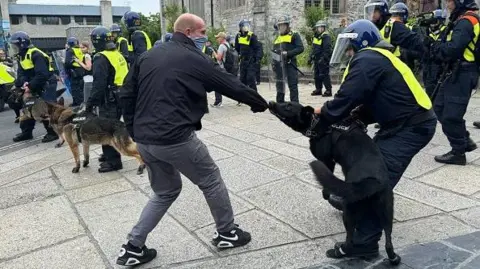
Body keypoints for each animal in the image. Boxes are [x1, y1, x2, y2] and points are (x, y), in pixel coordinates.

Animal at [270, 101, 402, 264]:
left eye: (288, 106)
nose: (271, 102)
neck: (317, 123)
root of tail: (374, 182)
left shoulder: (327, 161)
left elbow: (326, 188)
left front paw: (327, 195)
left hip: (350, 211)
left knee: (350, 240)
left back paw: (338, 251)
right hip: (386, 212)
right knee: (388, 241)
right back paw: (393, 258)